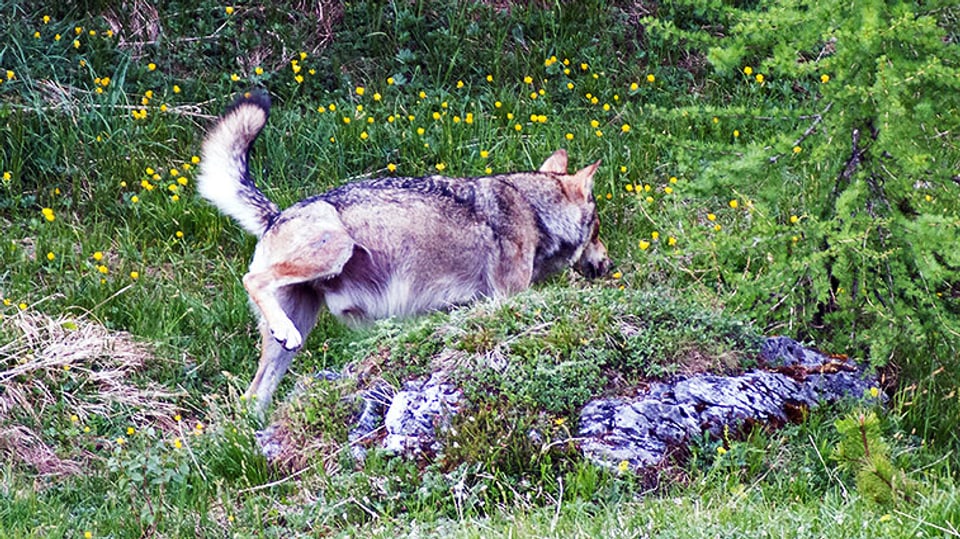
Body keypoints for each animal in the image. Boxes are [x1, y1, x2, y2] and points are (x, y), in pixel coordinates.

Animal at [199, 90, 612, 416]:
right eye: (597, 229)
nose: (608, 265)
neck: (533, 209)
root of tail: (276, 214)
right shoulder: (507, 296)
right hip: (333, 252)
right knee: (253, 279)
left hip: (292, 332)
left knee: (252, 398)